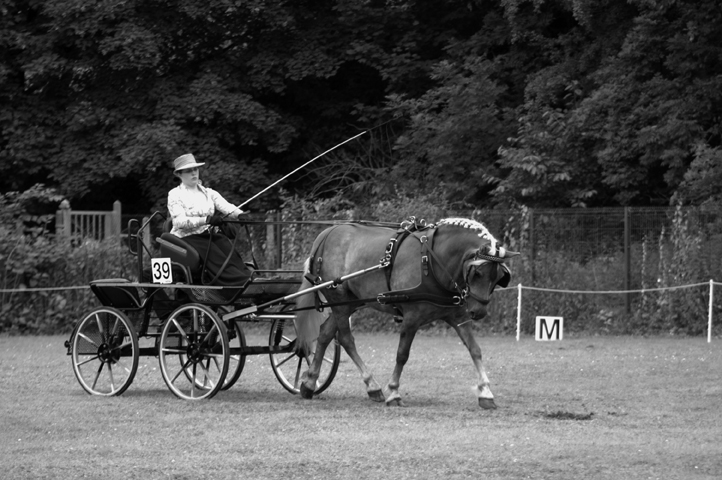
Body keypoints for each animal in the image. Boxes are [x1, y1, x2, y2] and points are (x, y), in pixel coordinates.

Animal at [292, 218, 516, 408]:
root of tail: (327, 233)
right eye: (477, 272)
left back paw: (310, 384)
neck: (433, 260)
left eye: (499, 277)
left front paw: (485, 392)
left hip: (349, 303)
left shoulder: (458, 317)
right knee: (346, 339)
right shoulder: (411, 318)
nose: (479, 312)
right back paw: (372, 385)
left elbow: (475, 350)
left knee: (324, 334)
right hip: (338, 300)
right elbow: (402, 355)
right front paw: (393, 392)